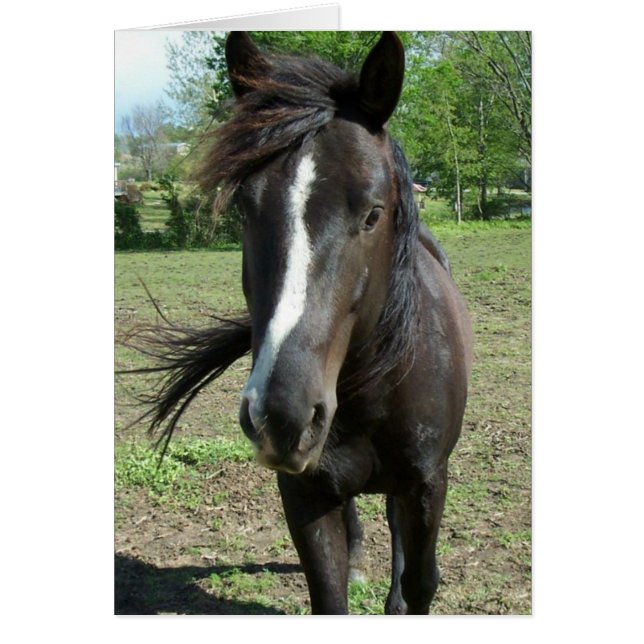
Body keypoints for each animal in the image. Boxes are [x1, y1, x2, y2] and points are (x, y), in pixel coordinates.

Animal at [133, 31, 473, 615]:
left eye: (373, 213)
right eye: (245, 209)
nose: (281, 417)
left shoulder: (428, 487)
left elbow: (420, 583)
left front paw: (399, 596)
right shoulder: (305, 495)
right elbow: (329, 593)